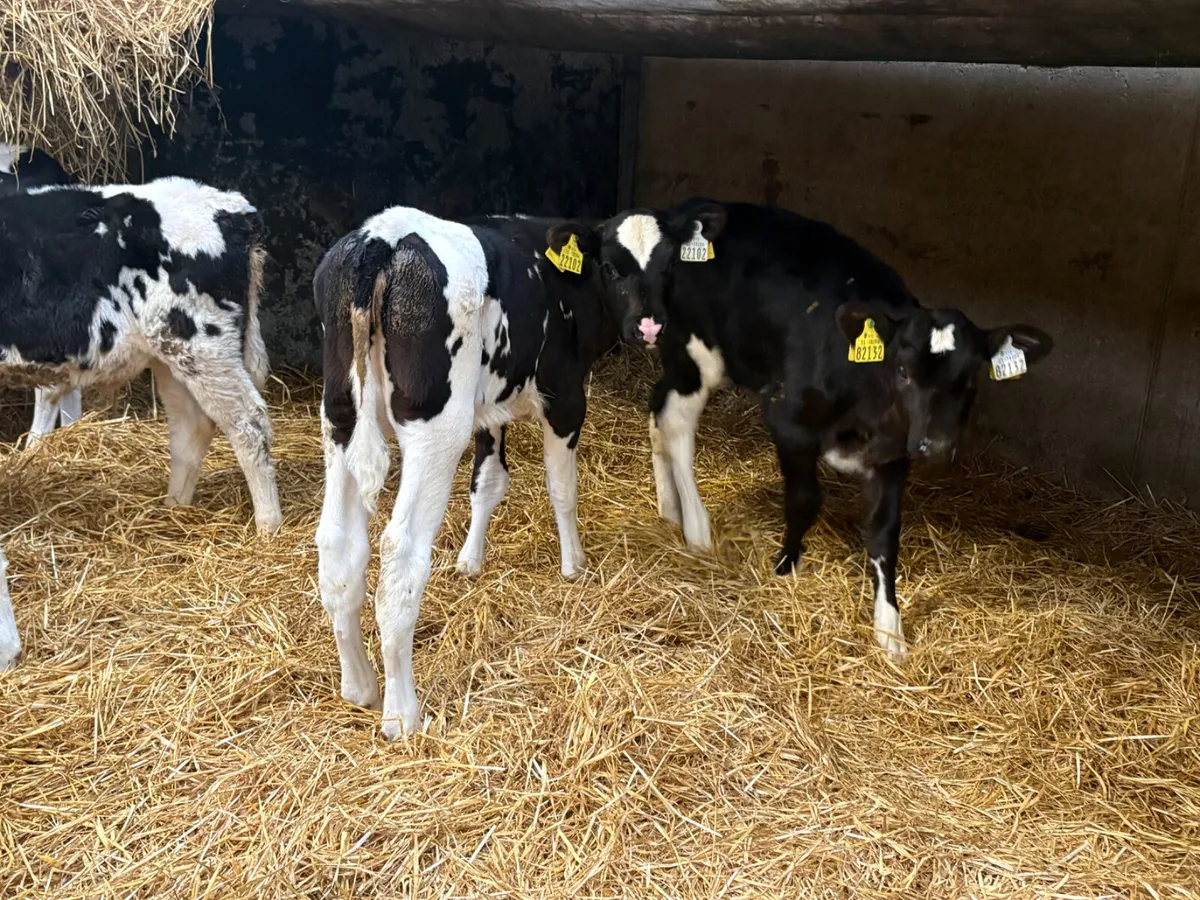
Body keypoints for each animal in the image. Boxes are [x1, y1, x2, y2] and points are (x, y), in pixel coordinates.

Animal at [0, 176, 282, 670]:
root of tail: (231, 205)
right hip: (168, 353)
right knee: (191, 428)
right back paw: (173, 509)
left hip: (200, 341)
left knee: (248, 422)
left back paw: (268, 525)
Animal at [314, 206, 622, 740]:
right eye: (614, 266)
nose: (650, 326)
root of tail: (381, 239)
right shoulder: (565, 395)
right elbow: (562, 487)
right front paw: (574, 565)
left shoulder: (490, 406)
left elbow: (488, 482)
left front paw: (470, 560)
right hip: (435, 429)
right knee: (400, 553)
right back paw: (401, 713)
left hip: (341, 415)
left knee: (338, 545)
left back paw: (359, 687)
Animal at [594, 198, 1053, 658]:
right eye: (902, 371)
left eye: (971, 379)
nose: (936, 447)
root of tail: (688, 209)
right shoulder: (788, 423)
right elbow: (805, 499)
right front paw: (785, 566)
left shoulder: (894, 456)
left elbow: (885, 534)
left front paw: (890, 629)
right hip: (694, 356)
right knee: (675, 423)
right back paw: (697, 528)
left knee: (656, 407)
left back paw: (669, 508)